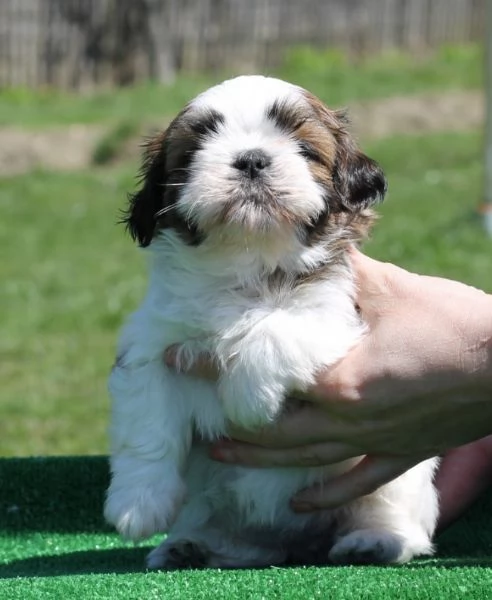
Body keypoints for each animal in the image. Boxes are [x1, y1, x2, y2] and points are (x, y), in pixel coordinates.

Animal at [104, 75, 438, 568]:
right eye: (195, 149)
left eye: (304, 148)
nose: (251, 158)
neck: (249, 262)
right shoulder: (150, 343)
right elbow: (146, 424)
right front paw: (138, 503)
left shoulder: (342, 320)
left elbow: (275, 325)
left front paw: (249, 399)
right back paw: (194, 545)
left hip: (402, 471)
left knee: (395, 510)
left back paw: (374, 540)